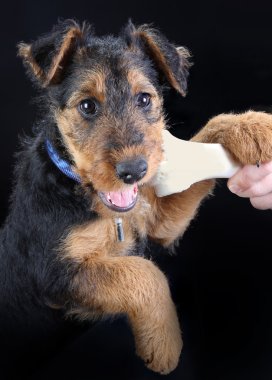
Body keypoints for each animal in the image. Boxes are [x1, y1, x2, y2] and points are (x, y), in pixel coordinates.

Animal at [2, 17, 272, 374]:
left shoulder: (159, 222)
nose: (134, 171)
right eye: (87, 106)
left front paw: (254, 127)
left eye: (144, 99)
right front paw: (164, 343)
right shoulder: (53, 272)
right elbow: (144, 272)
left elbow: (210, 130)